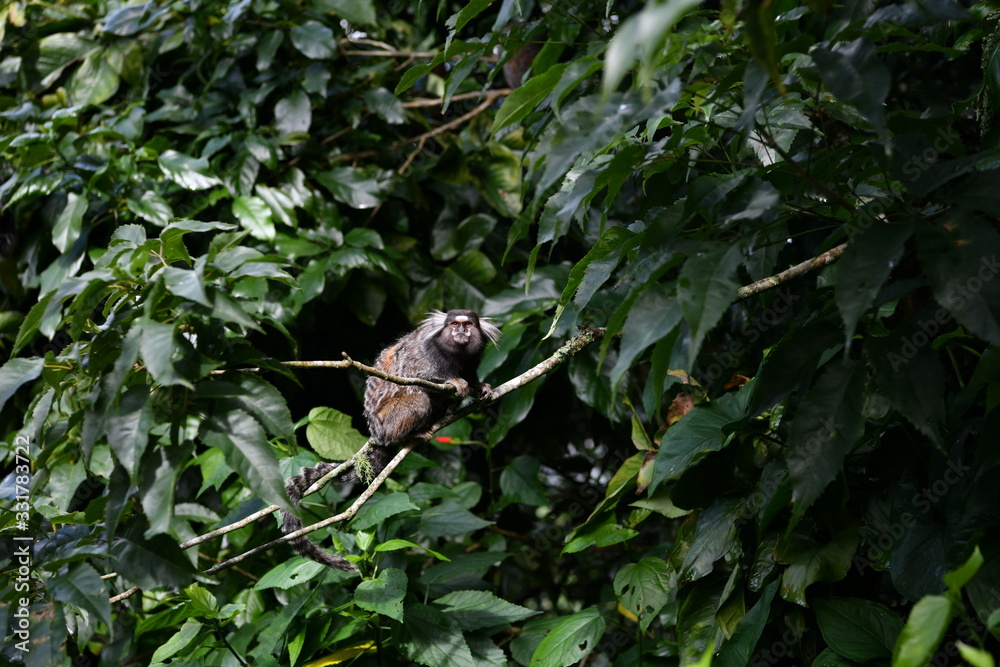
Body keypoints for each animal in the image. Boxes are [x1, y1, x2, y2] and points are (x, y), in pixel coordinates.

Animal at [280, 310, 500, 572]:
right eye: (455, 324)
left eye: (467, 325)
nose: (460, 331)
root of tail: (377, 434)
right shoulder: (424, 355)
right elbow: (416, 376)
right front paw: (456, 382)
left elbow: (472, 377)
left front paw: (480, 387)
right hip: (392, 419)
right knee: (418, 395)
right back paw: (414, 433)